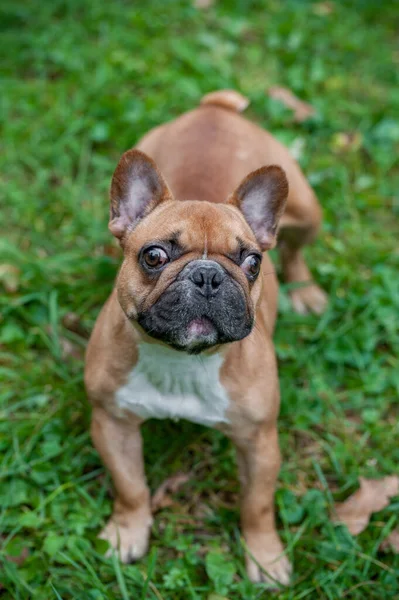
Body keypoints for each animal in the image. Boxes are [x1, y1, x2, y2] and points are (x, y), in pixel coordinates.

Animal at [85, 90, 328, 584]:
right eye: (154, 256)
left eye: (252, 262)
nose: (208, 276)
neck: (181, 360)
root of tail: (216, 107)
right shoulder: (112, 422)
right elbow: (131, 486)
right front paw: (127, 532)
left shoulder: (259, 442)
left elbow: (257, 505)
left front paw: (264, 556)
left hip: (307, 212)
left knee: (296, 250)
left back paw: (305, 290)